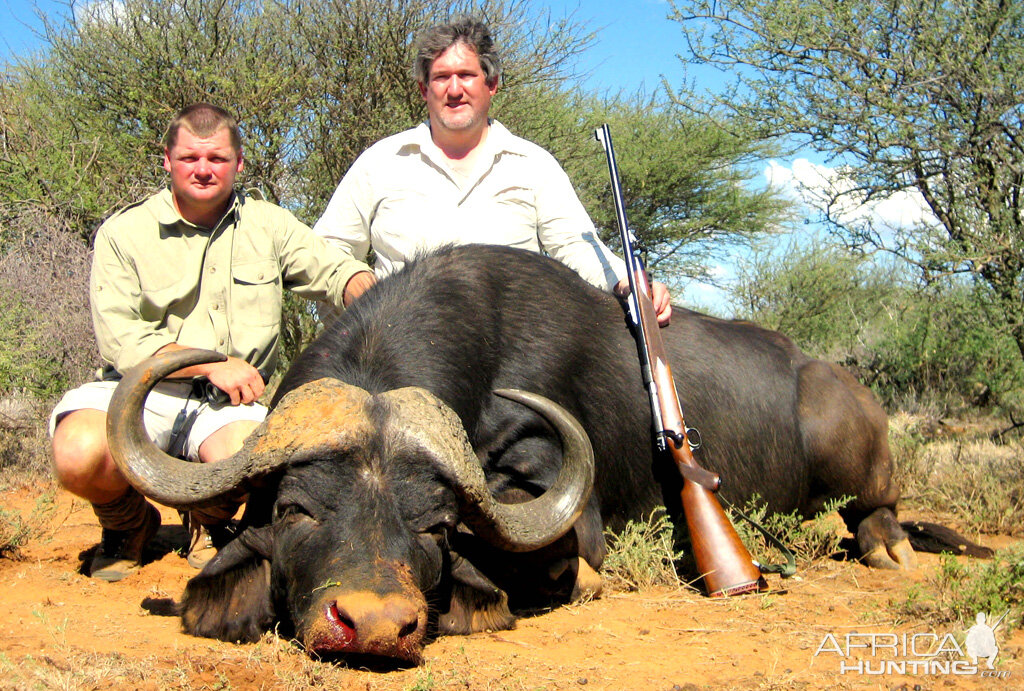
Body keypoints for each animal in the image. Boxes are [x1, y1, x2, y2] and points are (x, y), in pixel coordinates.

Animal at [108, 243, 970, 663]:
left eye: (436, 527)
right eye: (294, 510)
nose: (376, 624)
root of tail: (817, 367)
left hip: (851, 445)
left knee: (876, 511)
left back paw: (888, 545)